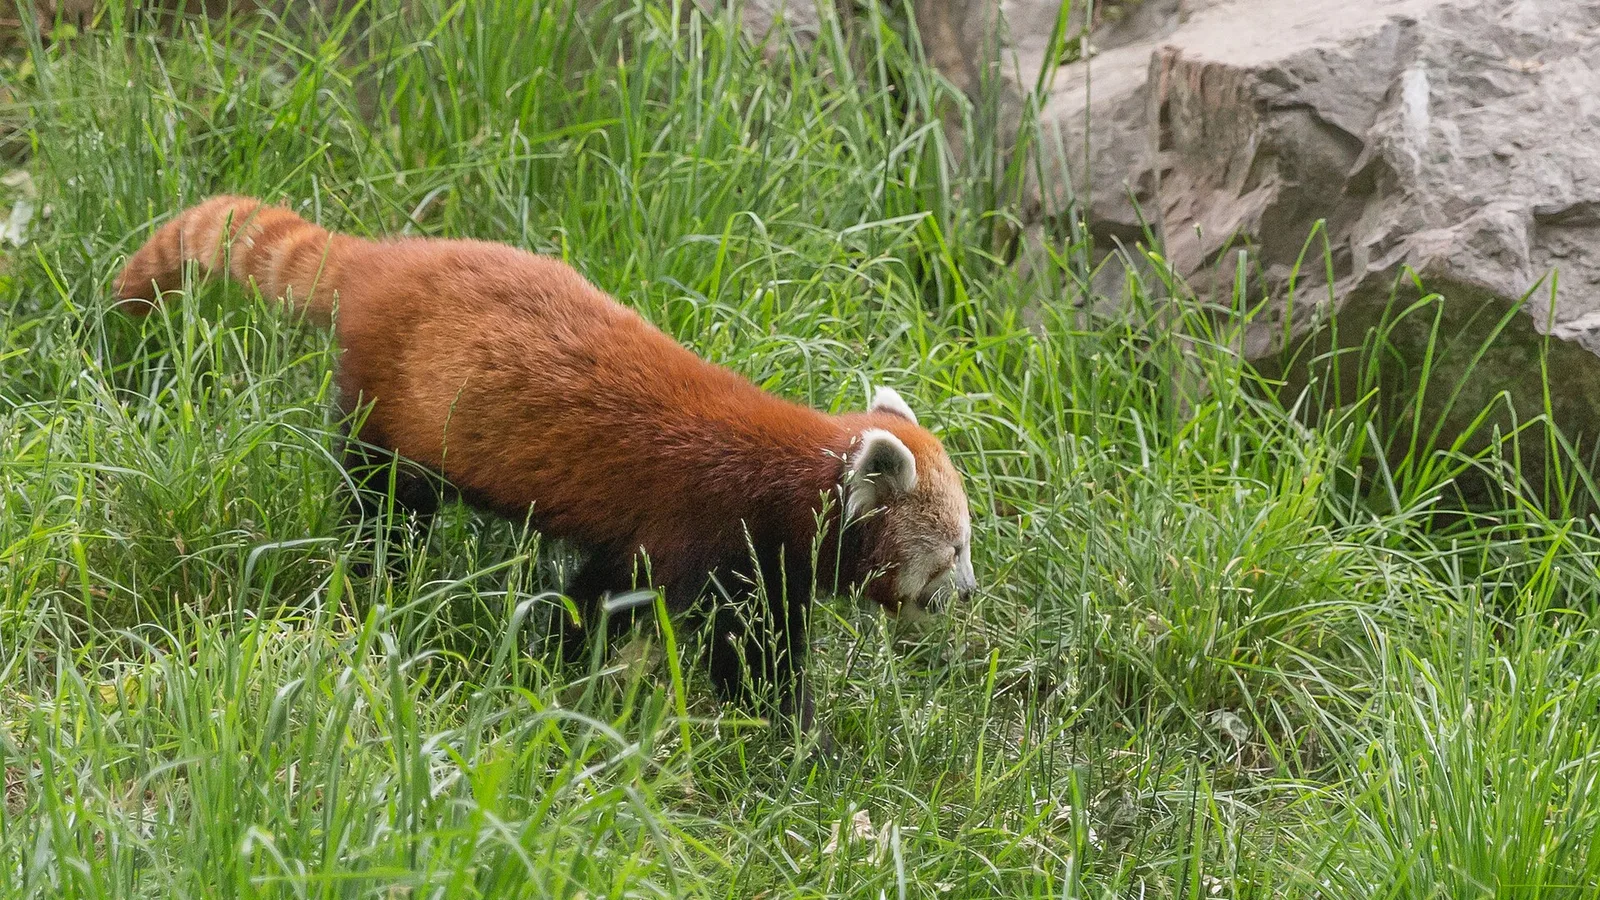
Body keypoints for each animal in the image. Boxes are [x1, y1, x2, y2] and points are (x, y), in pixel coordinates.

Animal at [114, 195, 978, 730]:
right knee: (384, 501)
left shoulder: (746, 562)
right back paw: (382, 573)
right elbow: (632, 613)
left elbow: (718, 632)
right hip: (391, 409)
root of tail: (384, 264)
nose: (970, 595)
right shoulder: (701, 531)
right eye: (956, 549)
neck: (793, 476)